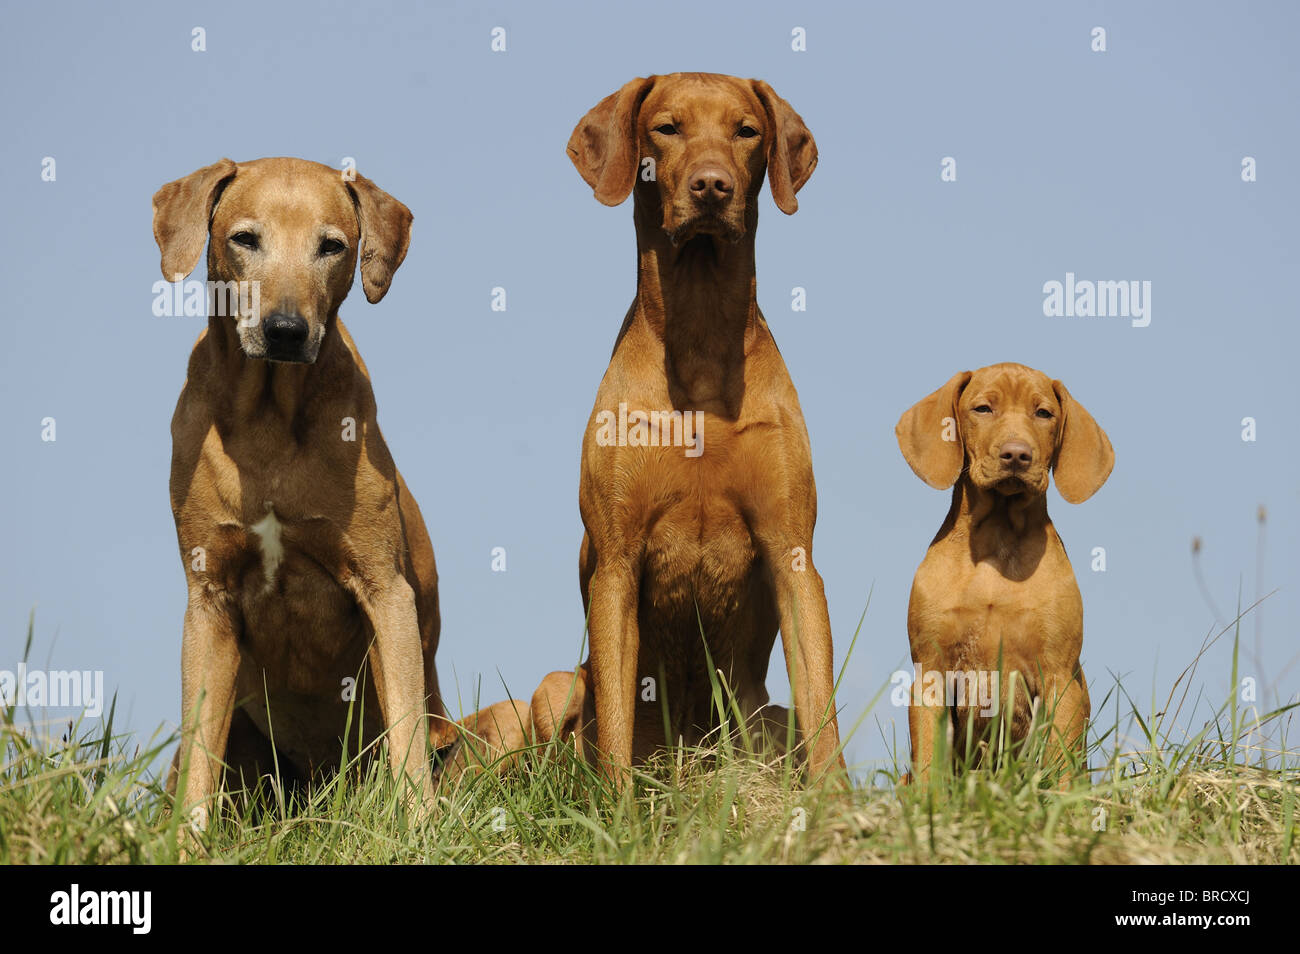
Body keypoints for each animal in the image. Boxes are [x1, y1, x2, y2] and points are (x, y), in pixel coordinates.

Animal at [154, 158, 452, 831]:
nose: (285, 330)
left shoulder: (385, 590)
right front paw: (187, 842)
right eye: (244, 239)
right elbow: (199, 756)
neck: (269, 412)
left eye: (331, 246)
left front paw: (420, 831)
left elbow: (405, 730)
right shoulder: (208, 599)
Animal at [894, 361, 1118, 790]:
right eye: (983, 409)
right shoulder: (930, 674)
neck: (997, 540)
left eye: (1043, 413)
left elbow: (1061, 768)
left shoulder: (1059, 678)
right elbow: (929, 762)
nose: (1017, 455)